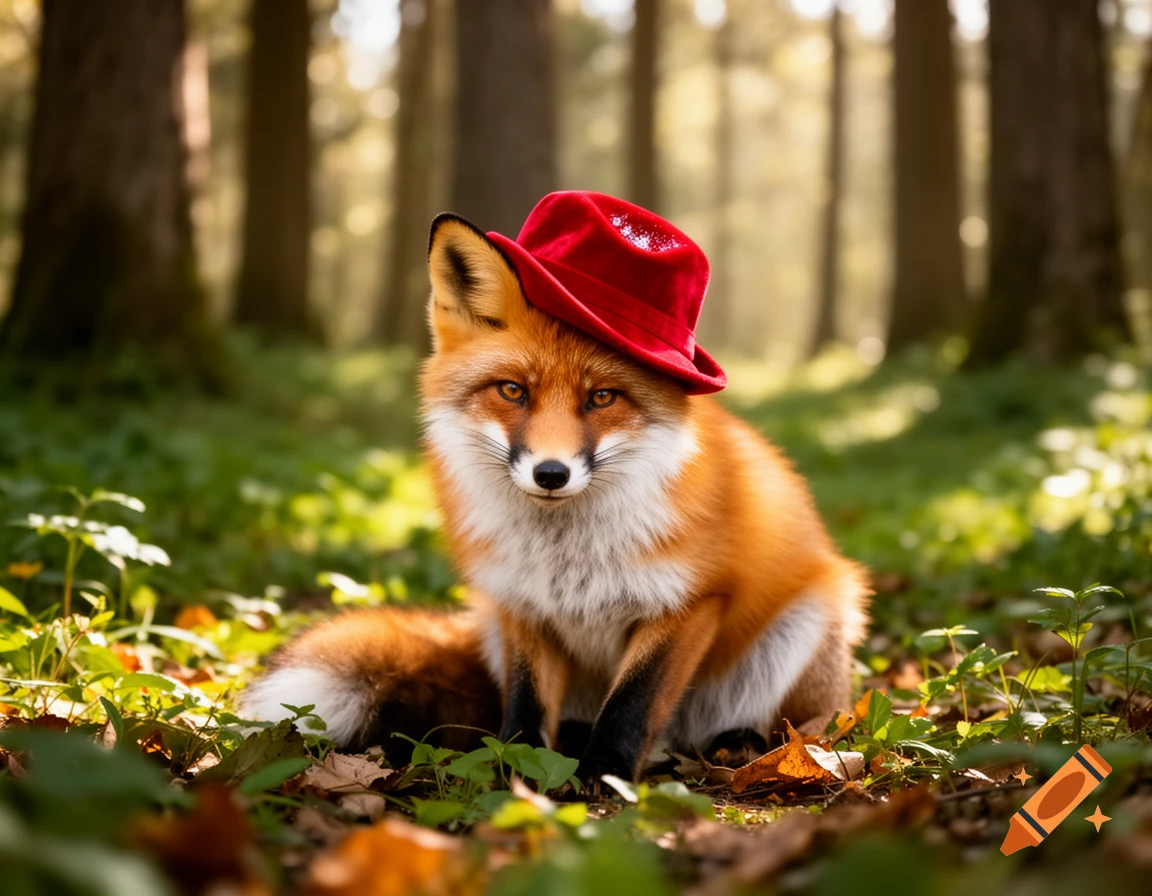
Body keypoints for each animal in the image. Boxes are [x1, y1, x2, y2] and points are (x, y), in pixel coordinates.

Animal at [244, 200, 870, 782]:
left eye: (601, 398)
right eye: (512, 391)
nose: (551, 473)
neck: (565, 555)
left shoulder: (688, 603)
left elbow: (633, 703)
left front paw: (604, 774)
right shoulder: (521, 602)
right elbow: (524, 706)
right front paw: (516, 774)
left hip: (811, 623)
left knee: (805, 726)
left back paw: (742, 742)